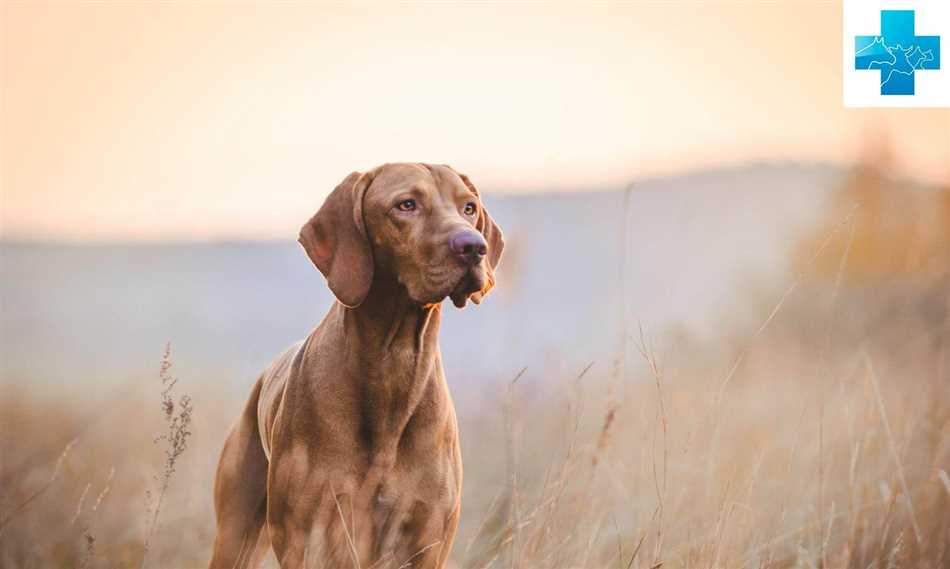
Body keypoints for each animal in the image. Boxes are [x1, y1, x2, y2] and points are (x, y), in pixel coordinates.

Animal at [208, 162, 506, 564]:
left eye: (469, 208)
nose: (474, 247)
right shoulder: (307, 535)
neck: (392, 363)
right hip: (236, 536)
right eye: (406, 204)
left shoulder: (427, 539)